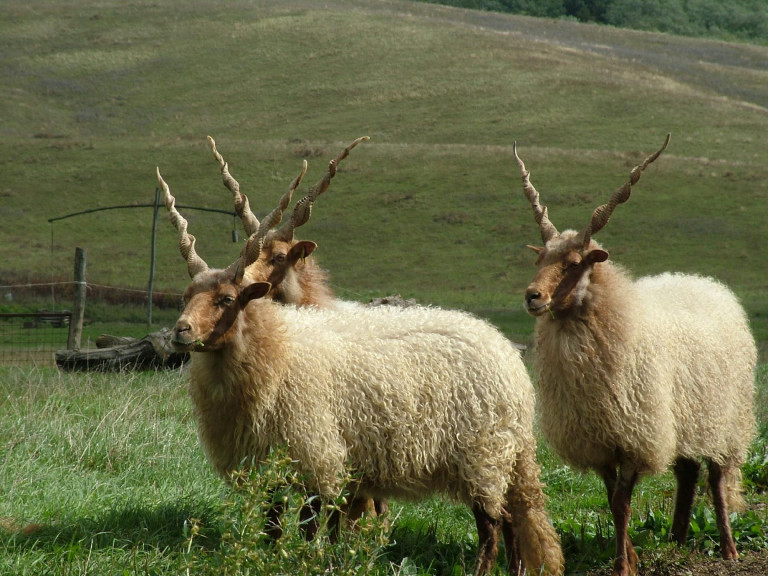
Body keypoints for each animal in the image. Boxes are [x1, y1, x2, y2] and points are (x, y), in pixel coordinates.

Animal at [156, 165, 564, 576]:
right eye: (185, 297)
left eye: (226, 299)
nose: (180, 332)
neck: (276, 346)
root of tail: (506, 353)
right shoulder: (268, 460)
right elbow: (274, 522)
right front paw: (275, 558)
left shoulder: (316, 451)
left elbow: (310, 524)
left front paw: (309, 560)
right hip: (499, 457)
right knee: (512, 522)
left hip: (482, 454)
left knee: (493, 525)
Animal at [516, 133, 756, 572]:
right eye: (539, 258)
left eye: (574, 263)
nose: (532, 297)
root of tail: (699, 280)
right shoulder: (599, 440)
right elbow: (612, 502)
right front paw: (630, 556)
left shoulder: (633, 436)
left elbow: (623, 504)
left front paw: (623, 565)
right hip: (682, 417)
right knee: (687, 473)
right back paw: (677, 538)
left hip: (722, 417)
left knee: (715, 478)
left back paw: (729, 548)